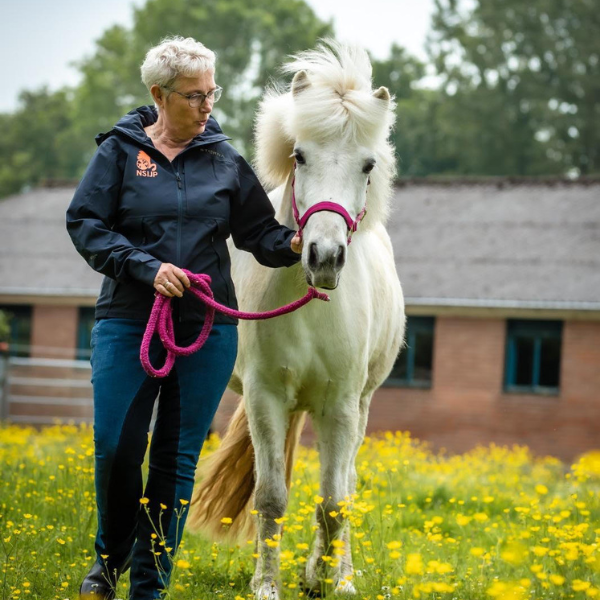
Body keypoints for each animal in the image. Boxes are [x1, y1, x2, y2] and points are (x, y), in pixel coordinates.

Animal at [190, 39, 406, 596]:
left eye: (368, 165)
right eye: (300, 156)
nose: (324, 257)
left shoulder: (343, 406)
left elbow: (335, 501)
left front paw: (329, 580)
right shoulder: (266, 397)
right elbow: (271, 496)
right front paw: (267, 585)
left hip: (362, 406)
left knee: (347, 483)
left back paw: (335, 571)